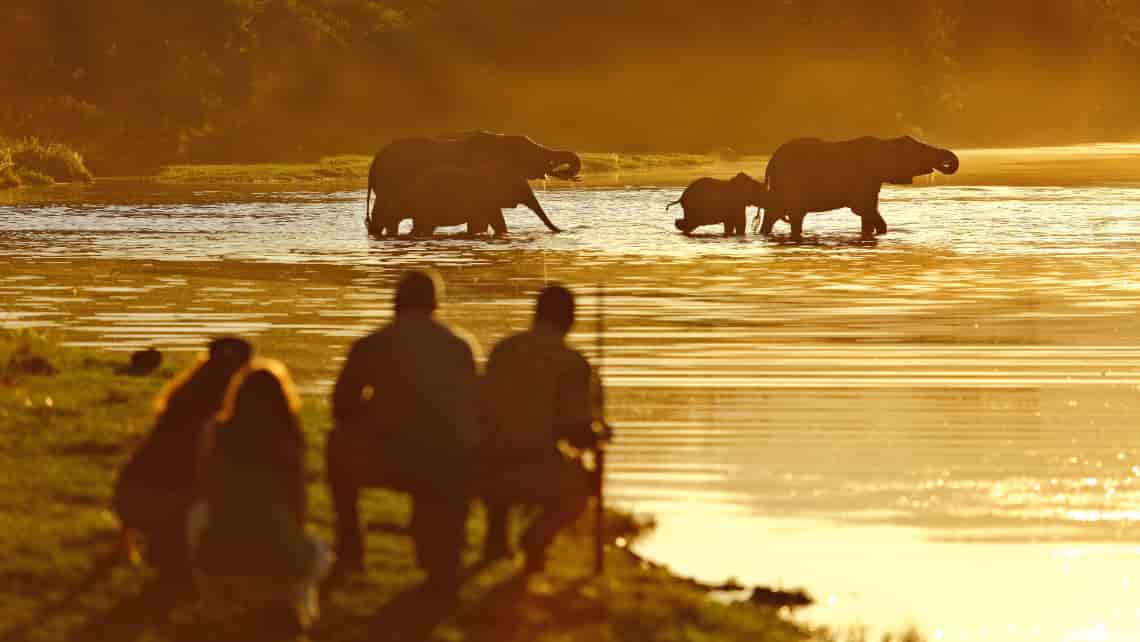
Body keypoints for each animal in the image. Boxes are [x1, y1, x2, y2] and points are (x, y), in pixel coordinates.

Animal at [761, 134, 957, 239]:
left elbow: (867, 213)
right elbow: (864, 209)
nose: (946, 162)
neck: (885, 143)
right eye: (918, 152)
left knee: (775, 214)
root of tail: (771, 161)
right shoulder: (863, 179)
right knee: (792, 215)